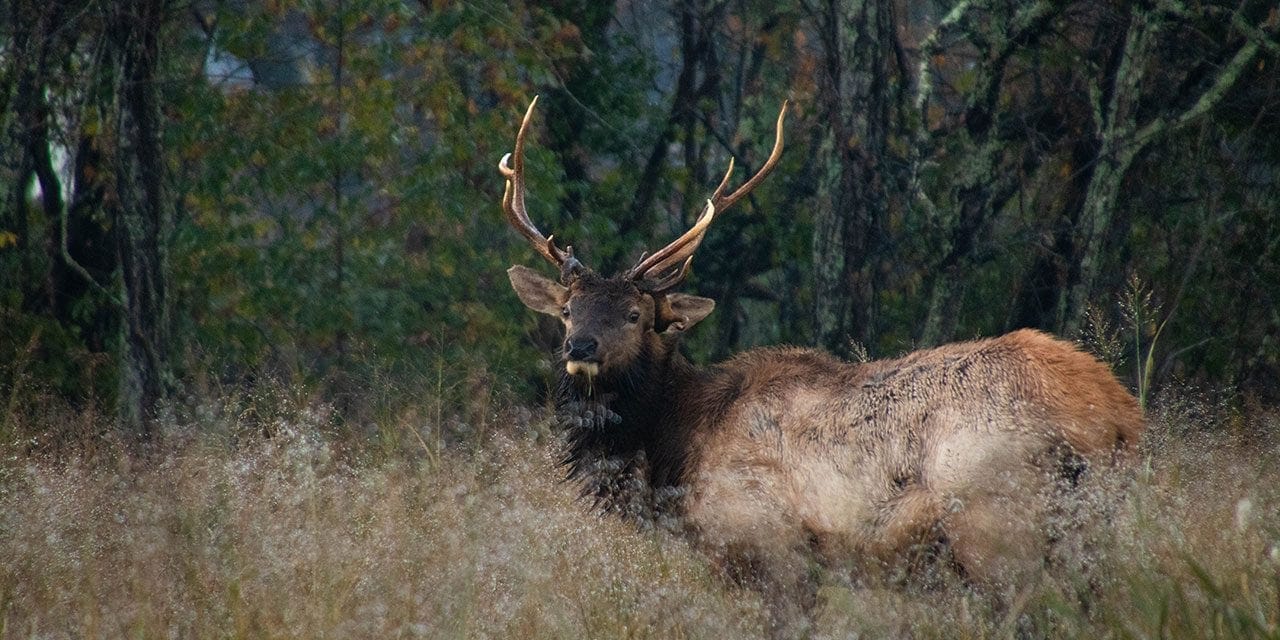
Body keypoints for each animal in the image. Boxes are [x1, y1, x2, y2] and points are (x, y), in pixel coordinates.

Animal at [499, 97, 1144, 634]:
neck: (676, 450)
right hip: (1092, 529)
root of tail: (1116, 416)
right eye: (567, 310)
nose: (580, 348)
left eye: (635, 314)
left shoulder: (771, 546)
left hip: (999, 523)